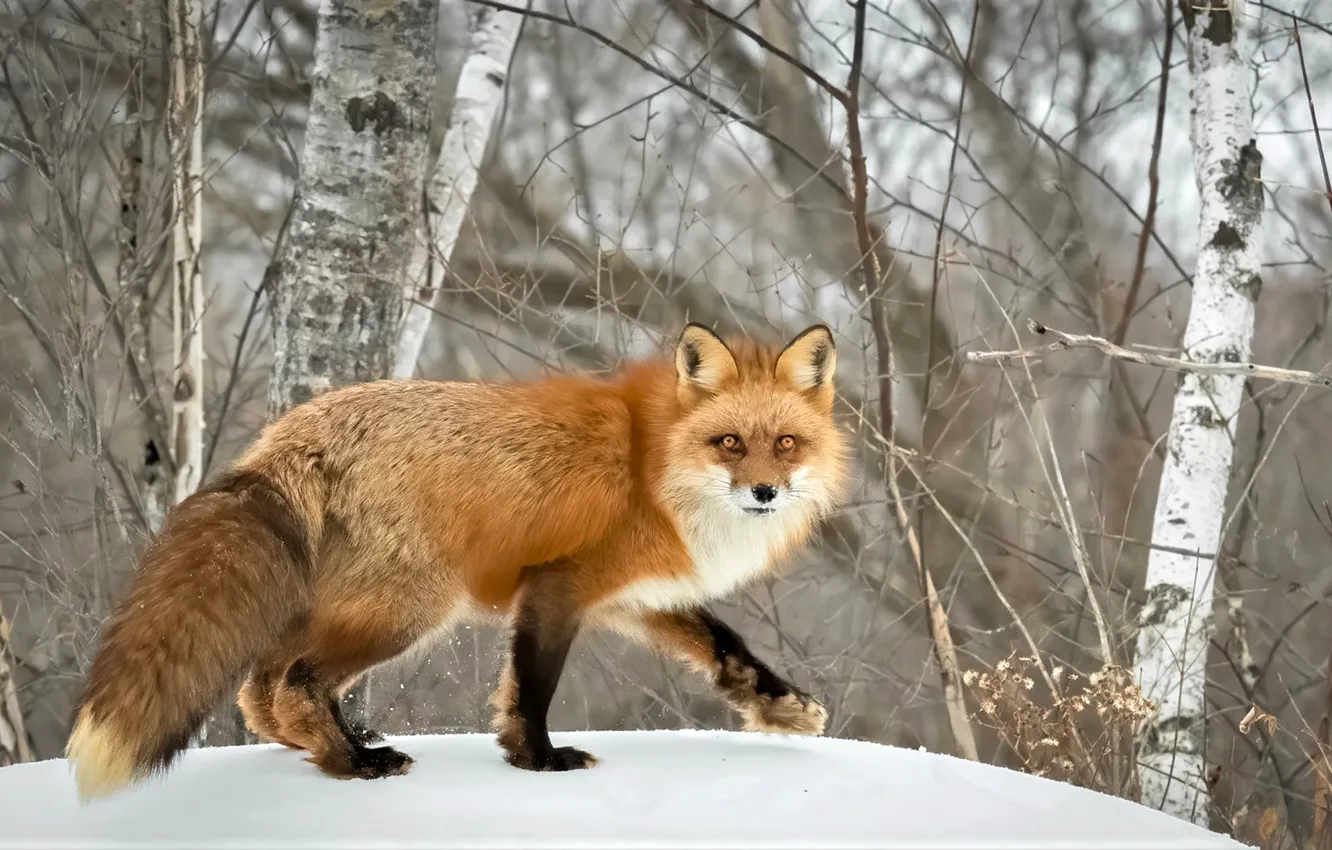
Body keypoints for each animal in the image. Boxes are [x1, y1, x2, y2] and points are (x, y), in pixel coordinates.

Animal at [64, 322, 849, 801]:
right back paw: (351, 765)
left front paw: (782, 710)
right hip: (409, 609)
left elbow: (728, 648)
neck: (651, 468)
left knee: (259, 692)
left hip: (345, 606)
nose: (764, 492)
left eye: (785, 443)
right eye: (728, 443)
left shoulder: (634, 597)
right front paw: (538, 761)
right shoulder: (559, 587)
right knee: (295, 682)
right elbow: (531, 689)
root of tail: (287, 432)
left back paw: (329, 747)